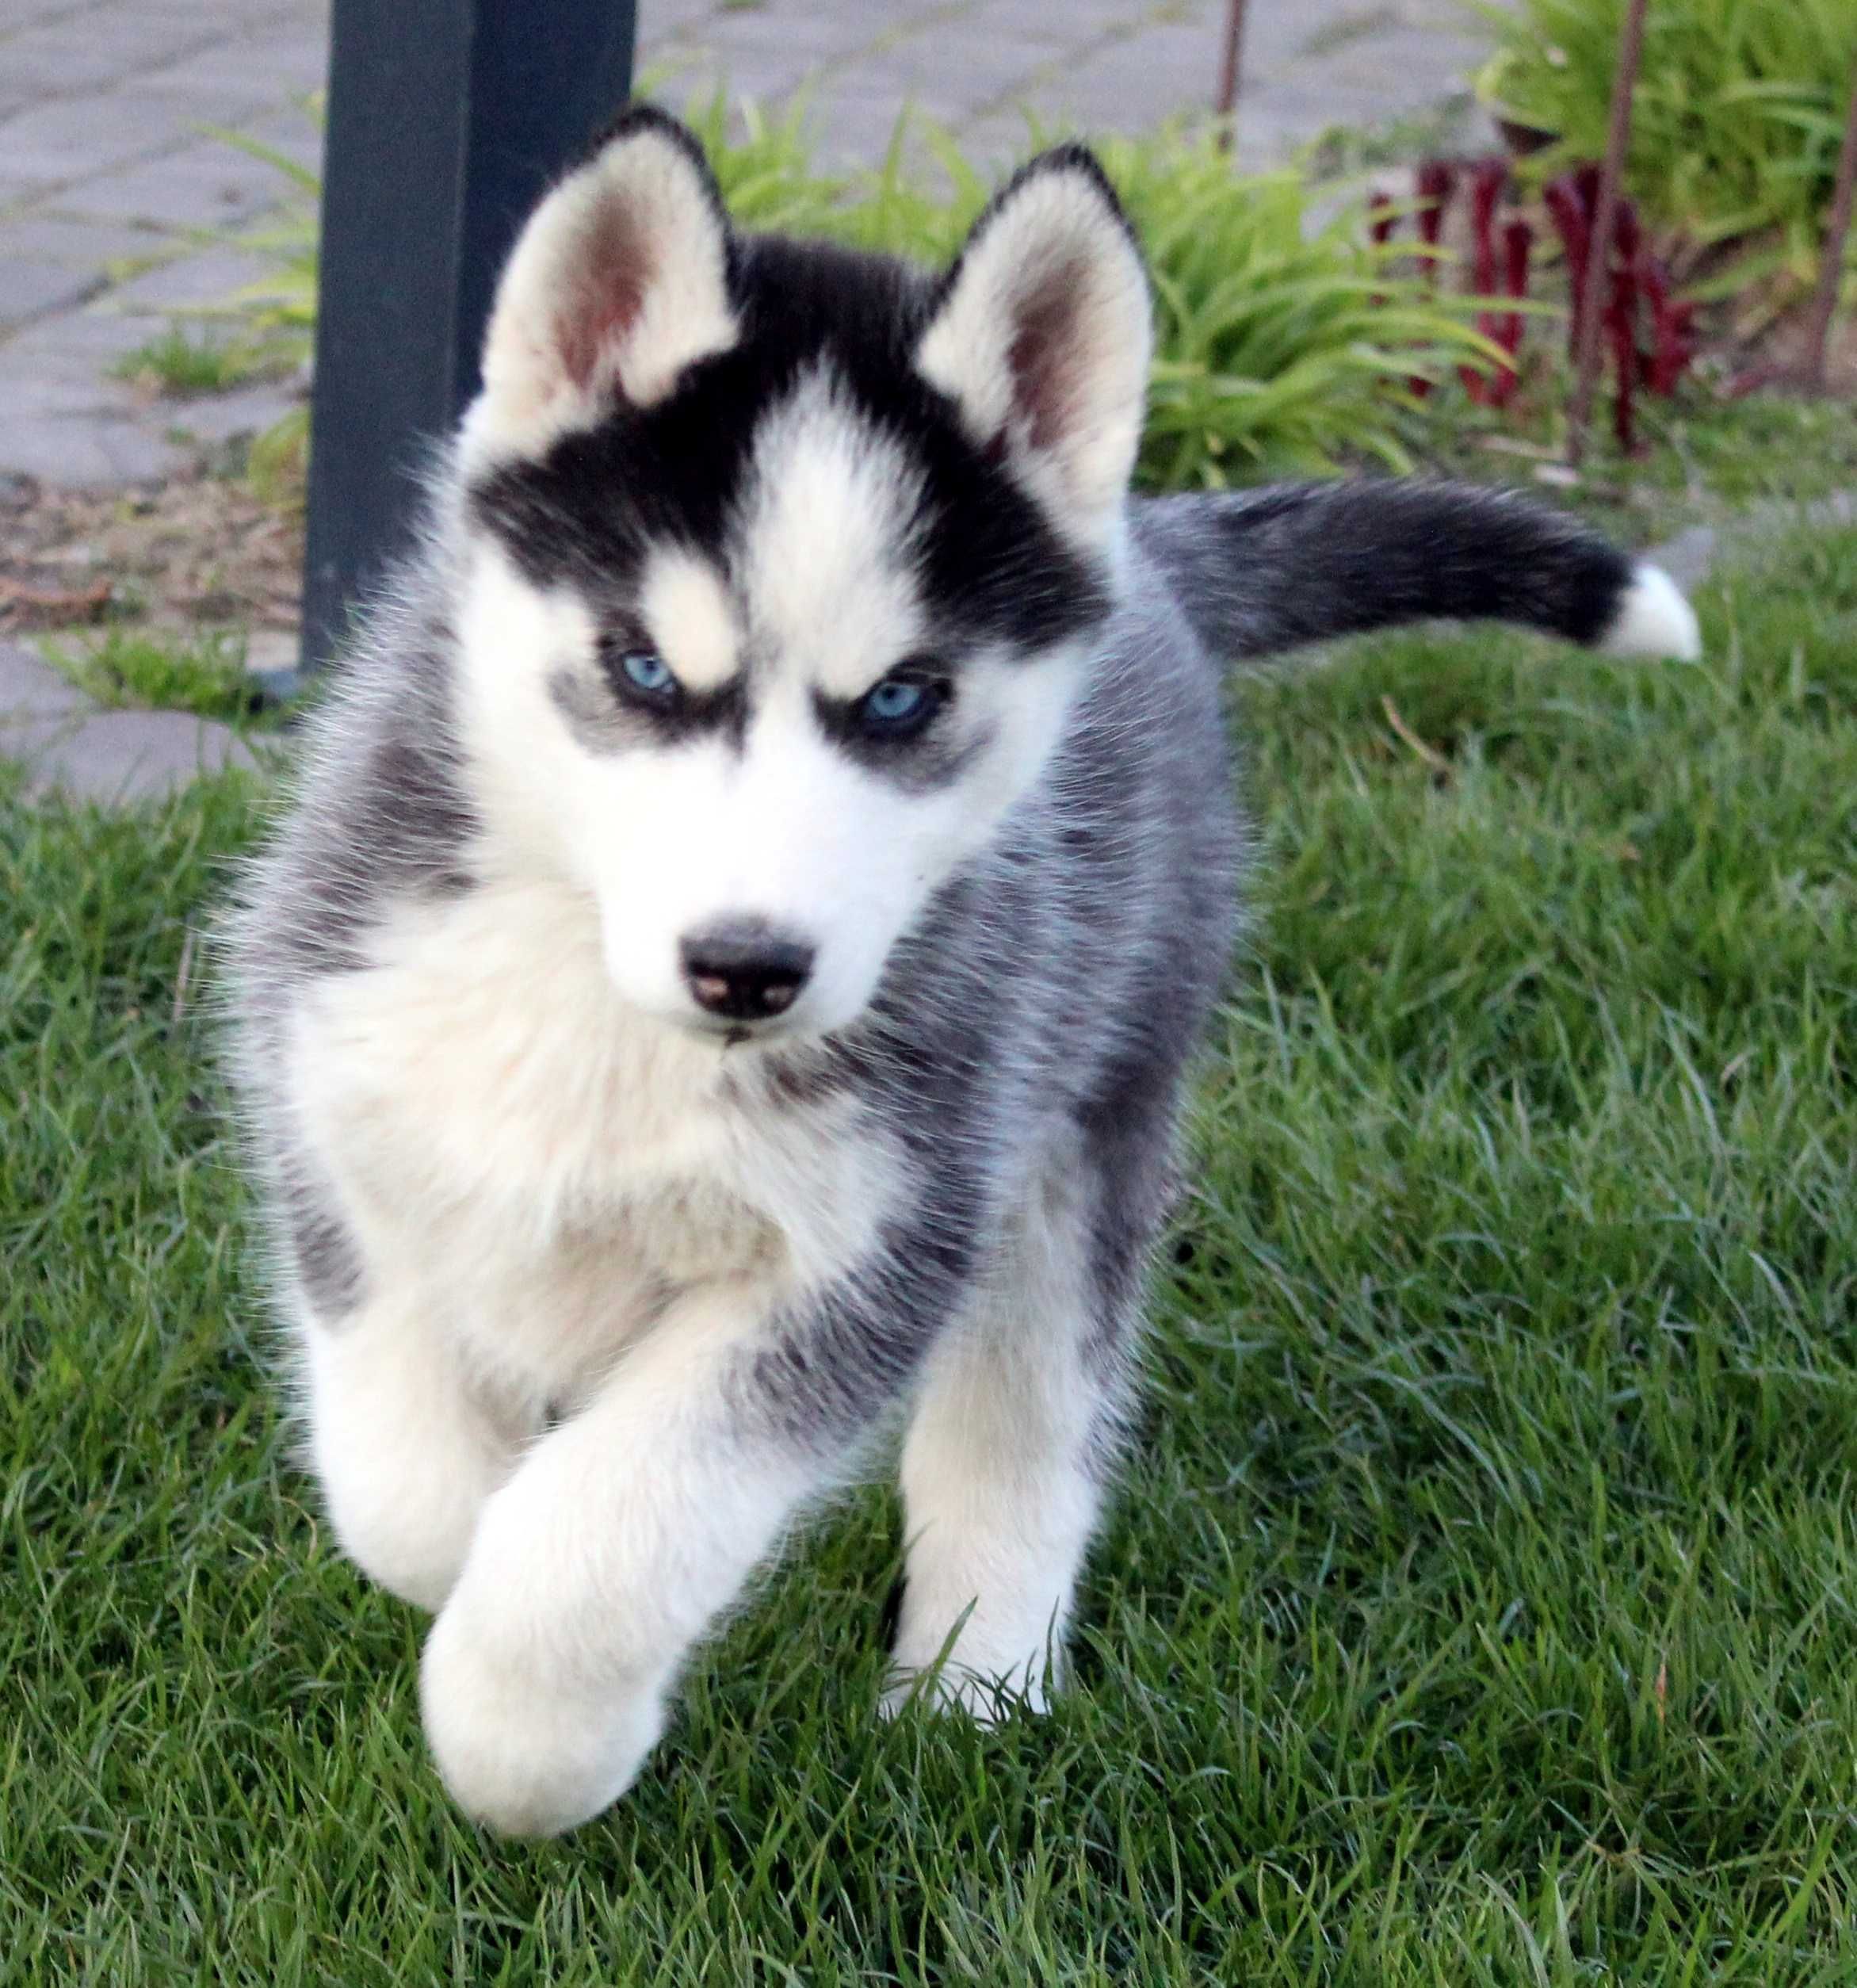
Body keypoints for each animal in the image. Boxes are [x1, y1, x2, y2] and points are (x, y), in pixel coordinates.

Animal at [225, 105, 1710, 1829]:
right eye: (643, 667)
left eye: (900, 699)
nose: (748, 968)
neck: (607, 1010)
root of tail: (1144, 557)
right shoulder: (335, 1085)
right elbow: (403, 1479)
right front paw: (463, 1539)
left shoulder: (878, 1238)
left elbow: (623, 1509)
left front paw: (523, 1732)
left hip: (1079, 1132)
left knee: (1024, 1426)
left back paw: (976, 1683)